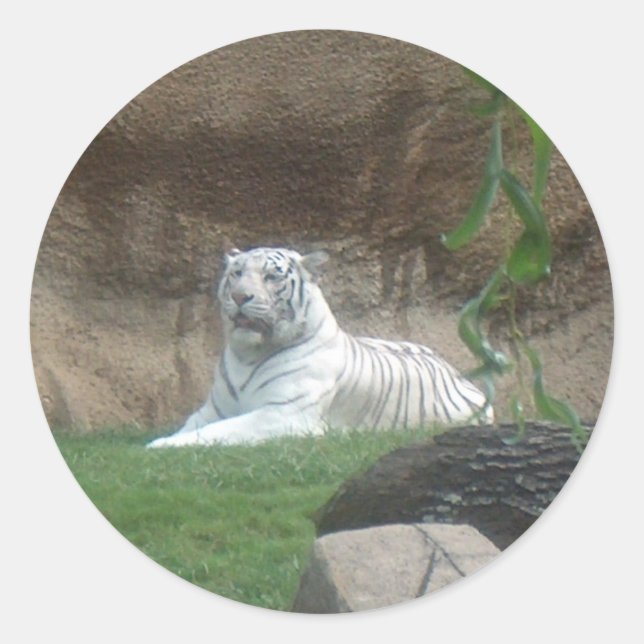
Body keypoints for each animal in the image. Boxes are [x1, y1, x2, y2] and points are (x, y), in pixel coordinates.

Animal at [147, 246, 493, 448]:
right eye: (237, 273)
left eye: (271, 276)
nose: (240, 296)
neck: (247, 354)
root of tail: (458, 373)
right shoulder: (211, 410)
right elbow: (191, 427)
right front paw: (162, 441)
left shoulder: (282, 414)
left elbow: (220, 432)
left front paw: (158, 447)